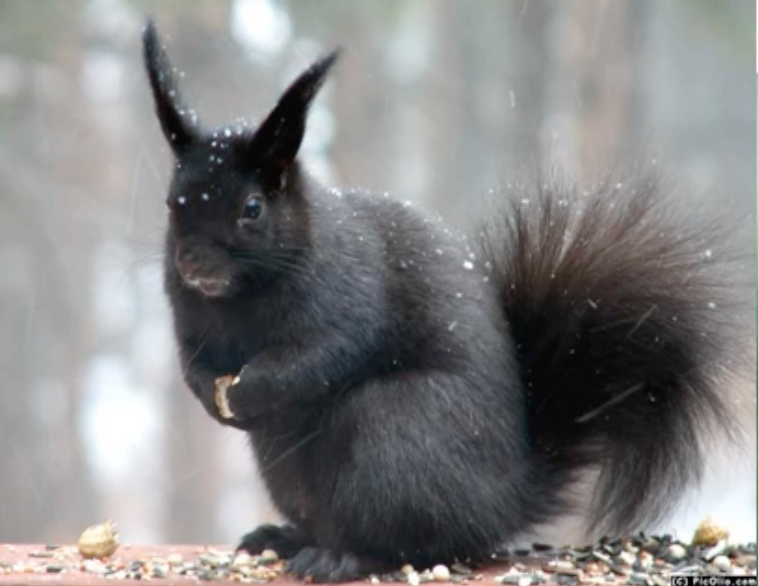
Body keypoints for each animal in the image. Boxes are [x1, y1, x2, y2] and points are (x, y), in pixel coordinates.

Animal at [142, 21, 750, 582]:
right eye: (172, 202)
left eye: (252, 208)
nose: (192, 263)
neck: (236, 301)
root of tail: (504, 500)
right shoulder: (187, 319)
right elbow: (192, 361)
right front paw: (209, 393)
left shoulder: (345, 300)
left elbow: (319, 357)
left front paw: (251, 389)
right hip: (285, 467)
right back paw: (283, 537)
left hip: (395, 433)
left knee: (409, 542)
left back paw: (342, 557)